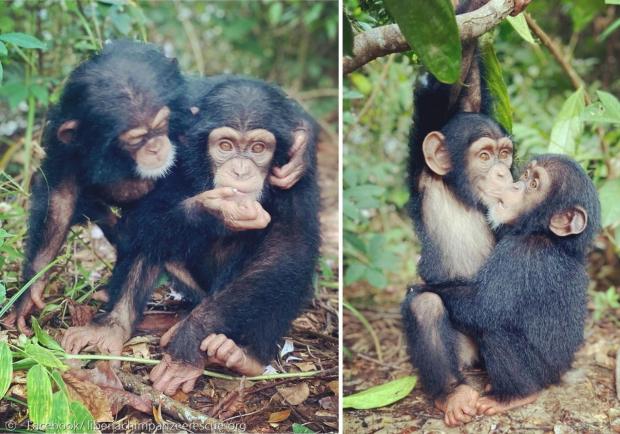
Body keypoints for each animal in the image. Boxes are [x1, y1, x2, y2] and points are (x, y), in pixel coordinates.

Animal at [62, 76, 320, 396]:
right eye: (225, 145)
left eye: (259, 147)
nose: (240, 170)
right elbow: (144, 215)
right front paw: (219, 210)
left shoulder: (297, 178)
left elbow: (287, 246)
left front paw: (188, 343)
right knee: (151, 238)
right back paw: (112, 326)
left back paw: (242, 355)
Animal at [412, 154, 600, 426]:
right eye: (526, 176)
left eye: (534, 185)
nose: (515, 186)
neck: (549, 236)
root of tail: (560, 373)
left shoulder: (523, 257)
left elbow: (484, 308)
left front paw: (423, 284)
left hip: (539, 374)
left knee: (495, 332)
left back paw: (514, 396)